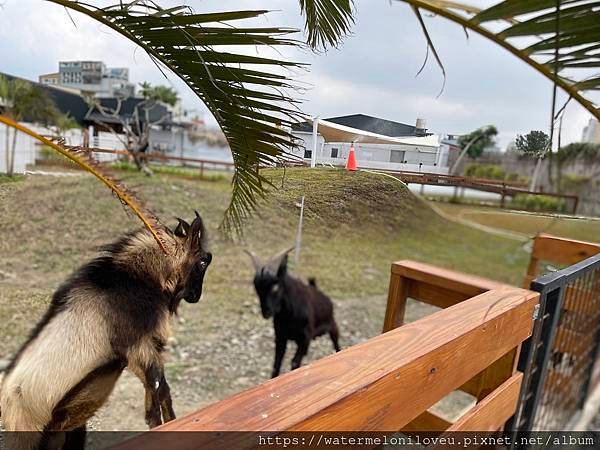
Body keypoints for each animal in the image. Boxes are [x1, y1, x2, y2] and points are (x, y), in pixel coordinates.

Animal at [0, 213, 213, 448]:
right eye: (203, 261)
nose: (195, 296)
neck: (137, 278)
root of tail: (7, 410)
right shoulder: (139, 347)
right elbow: (157, 392)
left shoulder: (144, 350)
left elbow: (162, 390)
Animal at [244, 248, 338, 378]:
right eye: (256, 287)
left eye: (275, 286)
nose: (266, 312)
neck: (288, 317)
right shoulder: (280, 337)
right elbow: (276, 364)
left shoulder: (305, 338)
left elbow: (294, 363)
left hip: (332, 326)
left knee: (336, 344)